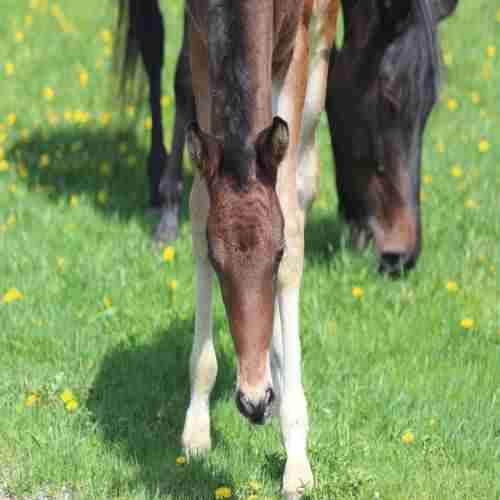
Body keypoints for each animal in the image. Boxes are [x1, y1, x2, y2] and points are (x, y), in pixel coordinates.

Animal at [182, 1, 342, 498]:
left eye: (277, 254)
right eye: (217, 261)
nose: (252, 401)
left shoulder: (296, 51)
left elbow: (290, 212)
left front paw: (297, 463)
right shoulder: (198, 44)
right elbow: (199, 203)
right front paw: (196, 429)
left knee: (305, 177)